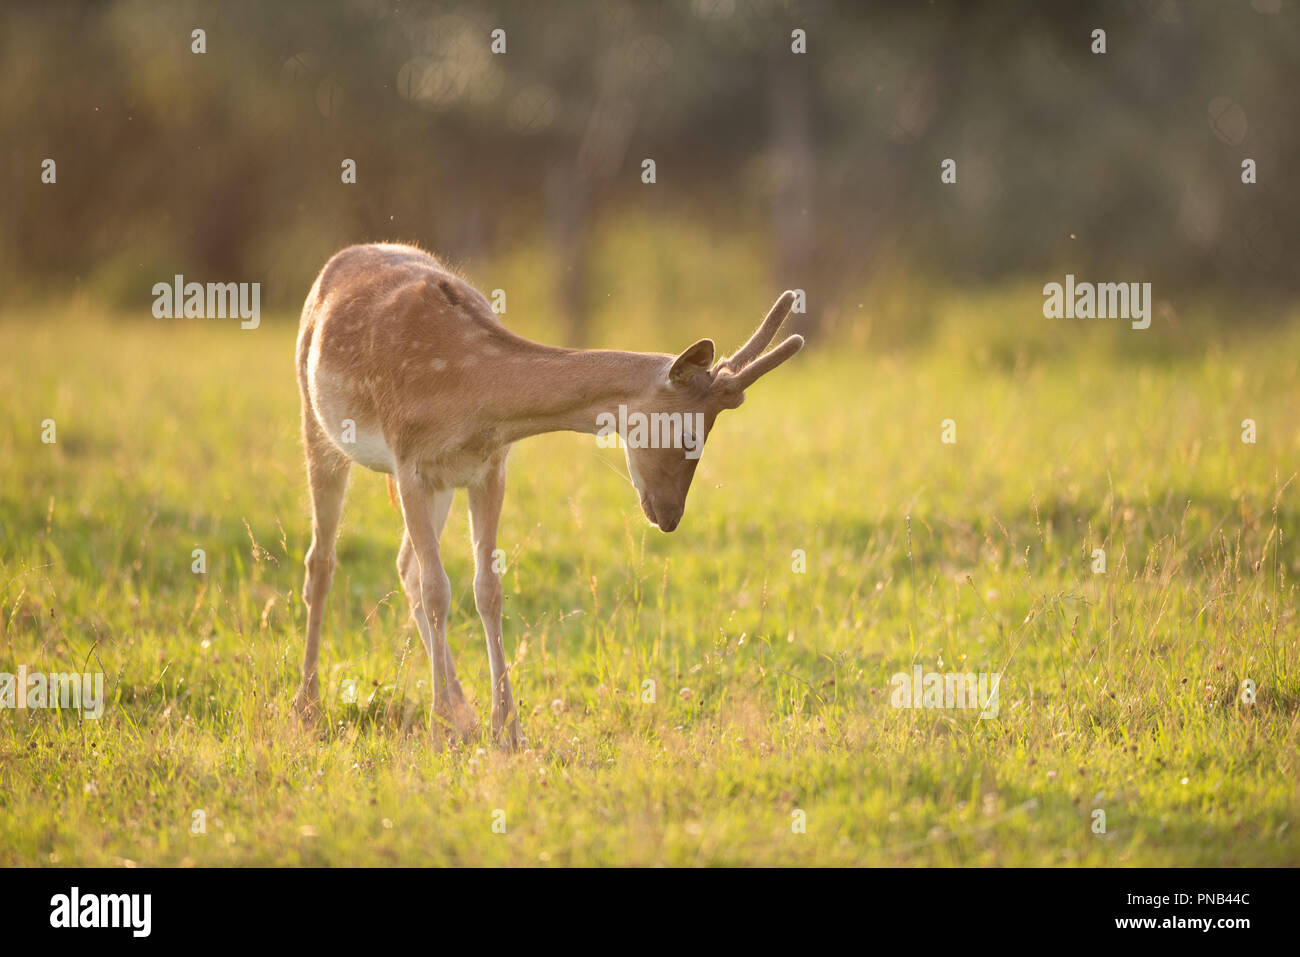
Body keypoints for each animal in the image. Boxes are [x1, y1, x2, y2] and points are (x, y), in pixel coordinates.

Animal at [293, 242, 804, 749]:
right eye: (685, 431)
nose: (669, 515)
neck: (465, 391)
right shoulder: (408, 463)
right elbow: (440, 589)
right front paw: (440, 732)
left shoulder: (488, 467)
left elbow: (487, 588)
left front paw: (506, 730)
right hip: (318, 423)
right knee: (323, 560)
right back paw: (309, 706)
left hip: (439, 486)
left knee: (405, 567)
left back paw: (464, 715)